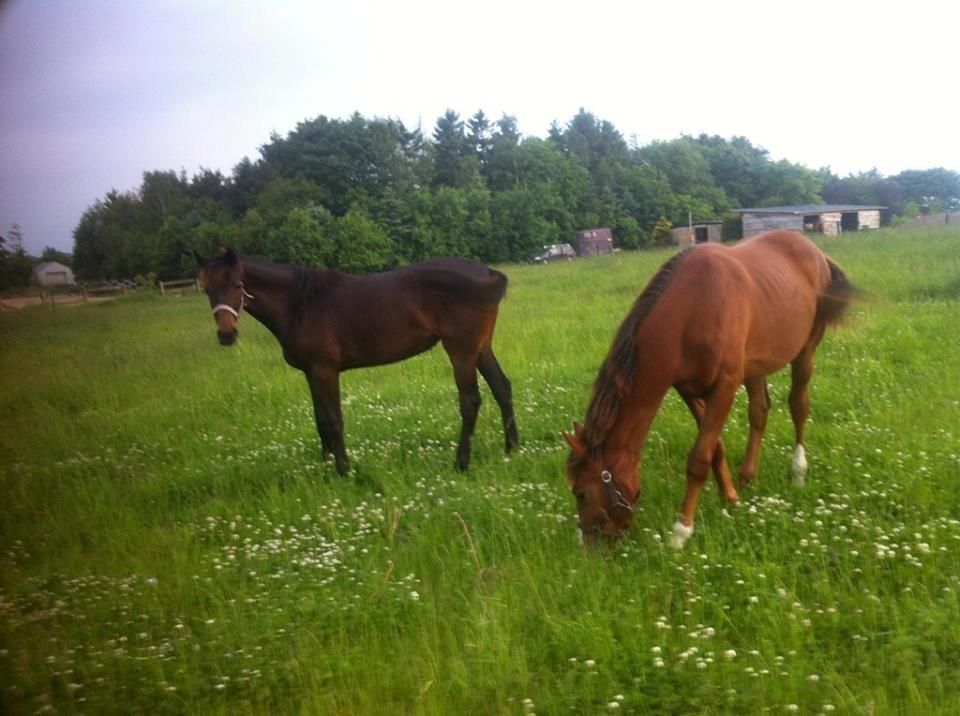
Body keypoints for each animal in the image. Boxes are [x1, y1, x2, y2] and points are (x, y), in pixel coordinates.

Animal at [196, 249, 520, 478]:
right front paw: (324, 465)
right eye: (207, 289)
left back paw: (461, 463)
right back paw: (512, 449)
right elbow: (319, 419)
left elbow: (333, 420)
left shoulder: (325, 370)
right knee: (502, 388)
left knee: (470, 401)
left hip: (461, 350)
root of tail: (487, 273)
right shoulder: (311, 373)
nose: (226, 334)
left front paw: (343, 471)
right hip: (481, 348)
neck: (301, 302)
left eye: (237, 284)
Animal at [564, 229, 856, 548]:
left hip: (805, 352)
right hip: (755, 366)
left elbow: (699, 458)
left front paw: (682, 531)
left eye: (582, 493)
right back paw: (748, 477)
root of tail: (815, 251)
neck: (692, 312)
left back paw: (798, 471)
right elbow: (715, 447)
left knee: (798, 406)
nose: (587, 546)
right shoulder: (688, 390)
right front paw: (731, 498)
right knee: (759, 412)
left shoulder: (725, 387)